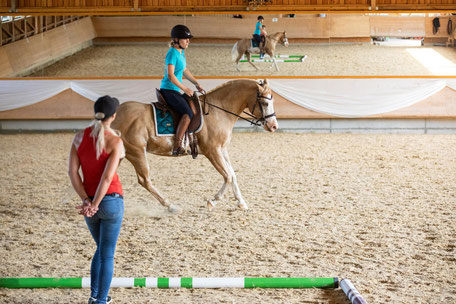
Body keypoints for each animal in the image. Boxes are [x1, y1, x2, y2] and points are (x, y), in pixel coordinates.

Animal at [112, 79, 280, 213]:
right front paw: (213, 201)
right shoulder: (212, 151)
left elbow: (233, 175)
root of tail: (116, 116)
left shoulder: (222, 149)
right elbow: (227, 176)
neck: (217, 110)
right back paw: (171, 205)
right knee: (144, 180)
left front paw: (241, 202)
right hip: (137, 152)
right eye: (265, 103)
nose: (273, 126)